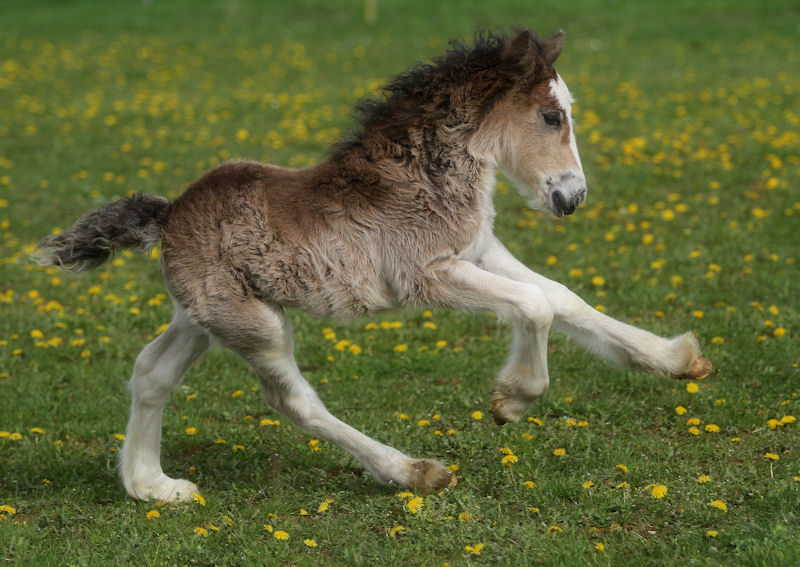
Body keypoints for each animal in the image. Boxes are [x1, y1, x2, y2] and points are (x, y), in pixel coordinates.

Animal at [39, 30, 712, 502]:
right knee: (292, 400)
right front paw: (512, 401)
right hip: (254, 323)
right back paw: (415, 473)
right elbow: (535, 306)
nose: (572, 199)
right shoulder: (426, 275)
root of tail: (169, 213)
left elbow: (563, 297)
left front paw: (676, 359)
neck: (425, 175)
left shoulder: (479, 250)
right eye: (552, 117)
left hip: (204, 316)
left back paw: (153, 487)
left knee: (152, 371)